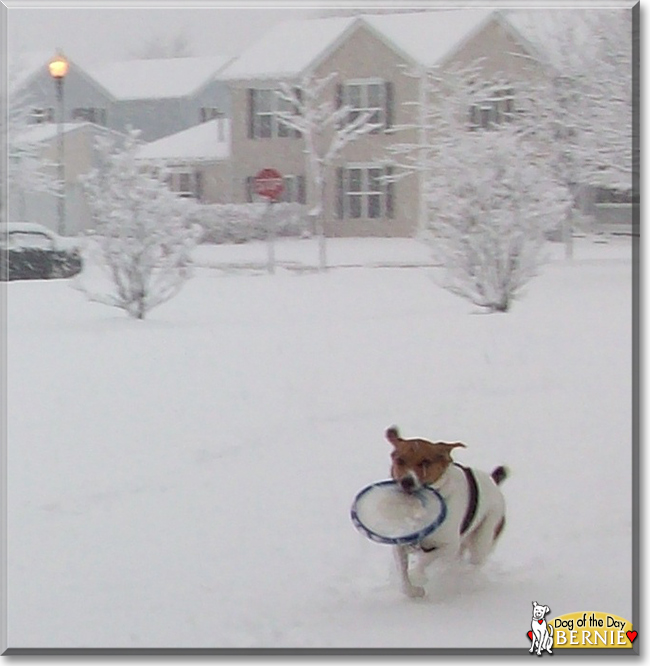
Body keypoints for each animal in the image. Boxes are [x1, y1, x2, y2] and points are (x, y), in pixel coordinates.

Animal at [384, 426, 506, 596]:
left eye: (425, 462)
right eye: (400, 460)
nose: (406, 482)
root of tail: (493, 482)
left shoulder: (449, 545)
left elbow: (425, 561)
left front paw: (417, 577)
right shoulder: (399, 544)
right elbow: (403, 574)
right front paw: (413, 591)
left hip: (483, 537)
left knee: (474, 561)